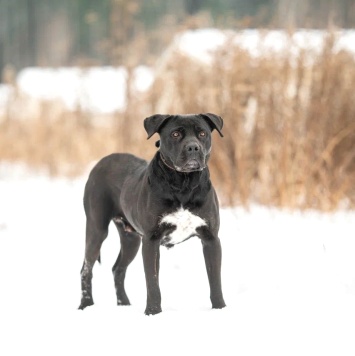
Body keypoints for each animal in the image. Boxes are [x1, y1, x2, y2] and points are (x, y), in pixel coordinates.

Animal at [79, 113, 227, 314]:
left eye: (202, 133)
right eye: (175, 134)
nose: (193, 147)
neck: (184, 183)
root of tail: (102, 162)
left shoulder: (211, 239)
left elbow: (215, 281)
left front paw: (220, 309)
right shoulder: (151, 240)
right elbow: (152, 283)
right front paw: (153, 312)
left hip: (131, 239)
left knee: (118, 269)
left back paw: (124, 304)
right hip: (97, 229)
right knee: (86, 269)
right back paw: (85, 305)